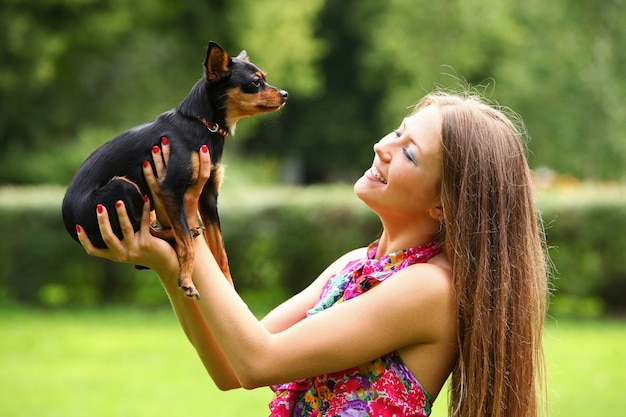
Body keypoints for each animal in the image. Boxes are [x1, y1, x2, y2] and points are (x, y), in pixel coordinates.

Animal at [62, 41, 286, 296]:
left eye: (264, 79)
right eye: (255, 82)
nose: (285, 94)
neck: (203, 125)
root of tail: (69, 221)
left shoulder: (208, 197)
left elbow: (220, 250)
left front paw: (229, 287)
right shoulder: (170, 188)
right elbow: (187, 243)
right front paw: (187, 279)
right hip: (123, 187)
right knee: (147, 236)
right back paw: (175, 235)